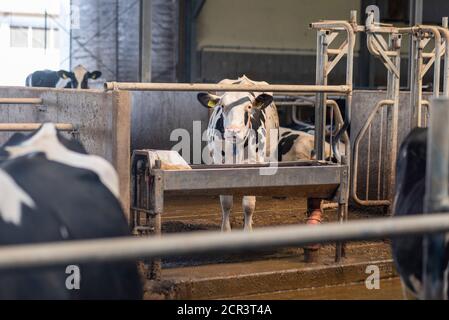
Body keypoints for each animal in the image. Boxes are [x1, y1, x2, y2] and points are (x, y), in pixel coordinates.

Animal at [198, 76, 334, 242]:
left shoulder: (255, 164)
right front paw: (226, 230)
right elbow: (226, 201)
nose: (233, 131)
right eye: (222, 106)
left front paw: (247, 230)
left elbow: (249, 203)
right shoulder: (220, 163)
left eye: (249, 107)